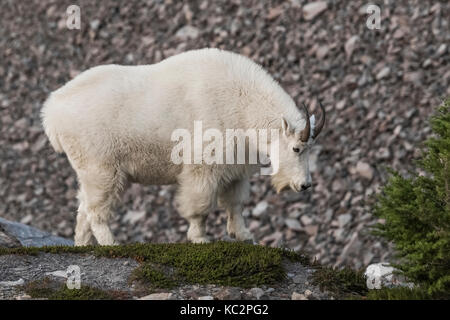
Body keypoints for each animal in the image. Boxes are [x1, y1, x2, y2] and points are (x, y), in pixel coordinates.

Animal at [41, 48, 324, 245]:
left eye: (311, 149)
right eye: (296, 149)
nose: (304, 185)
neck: (243, 103)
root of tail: (51, 112)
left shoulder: (236, 168)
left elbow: (236, 203)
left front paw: (243, 235)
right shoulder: (204, 165)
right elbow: (200, 204)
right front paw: (200, 238)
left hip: (88, 169)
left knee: (83, 207)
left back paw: (82, 245)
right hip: (100, 166)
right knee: (96, 210)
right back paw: (112, 244)